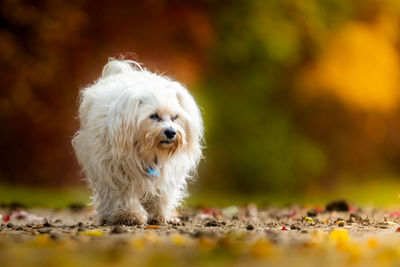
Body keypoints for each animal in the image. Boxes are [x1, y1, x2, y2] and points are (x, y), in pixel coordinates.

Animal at [72, 59, 203, 226]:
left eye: (175, 117)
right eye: (154, 116)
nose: (171, 132)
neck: (148, 150)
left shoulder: (166, 174)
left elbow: (162, 194)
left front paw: (160, 215)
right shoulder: (115, 171)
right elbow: (123, 195)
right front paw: (130, 215)